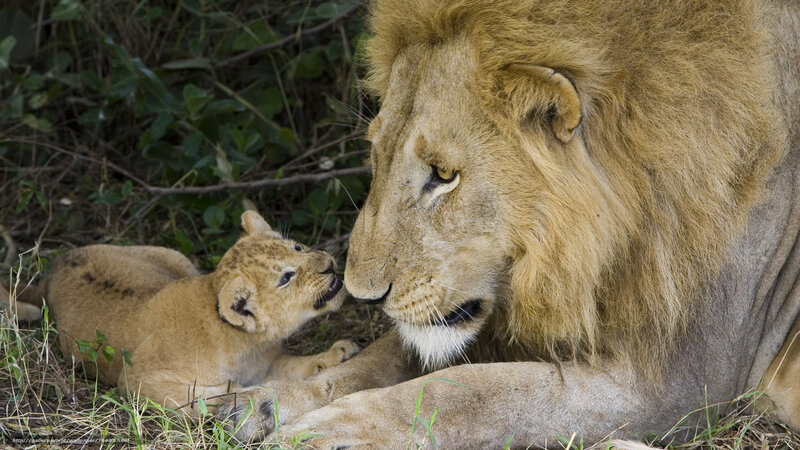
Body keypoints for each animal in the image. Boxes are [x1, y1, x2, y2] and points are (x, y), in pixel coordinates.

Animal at [24, 211, 358, 416]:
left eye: (298, 247)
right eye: (286, 278)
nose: (329, 265)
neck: (247, 345)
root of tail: (57, 263)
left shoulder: (265, 363)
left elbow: (295, 367)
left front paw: (337, 355)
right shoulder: (137, 380)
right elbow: (200, 395)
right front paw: (239, 396)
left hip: (174, 257)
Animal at [217, 0, 800, 446]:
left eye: (444, 175)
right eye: (375, 155)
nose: (361, 295)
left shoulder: (680, 382)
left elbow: (471, 393)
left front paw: (332, 431)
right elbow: (380, 359)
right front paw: (258, 405)